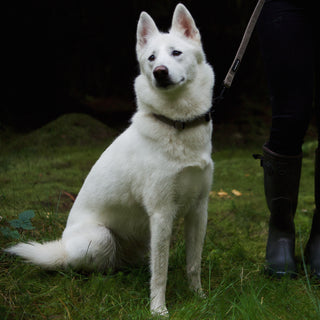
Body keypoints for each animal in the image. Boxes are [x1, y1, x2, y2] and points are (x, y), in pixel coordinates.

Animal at [5, 3, 214, 316]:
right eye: (151, 58)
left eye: (176, 52)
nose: (159, 72)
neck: (178, 124)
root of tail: (63, 246)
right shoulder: (162, 212)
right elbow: (161, 273)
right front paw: (158, 310)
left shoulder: (199, 209)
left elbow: (193, 264)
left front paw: (199, 298)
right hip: (101, 238)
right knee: (85, 268)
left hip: (142, 242)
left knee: (128, 265)